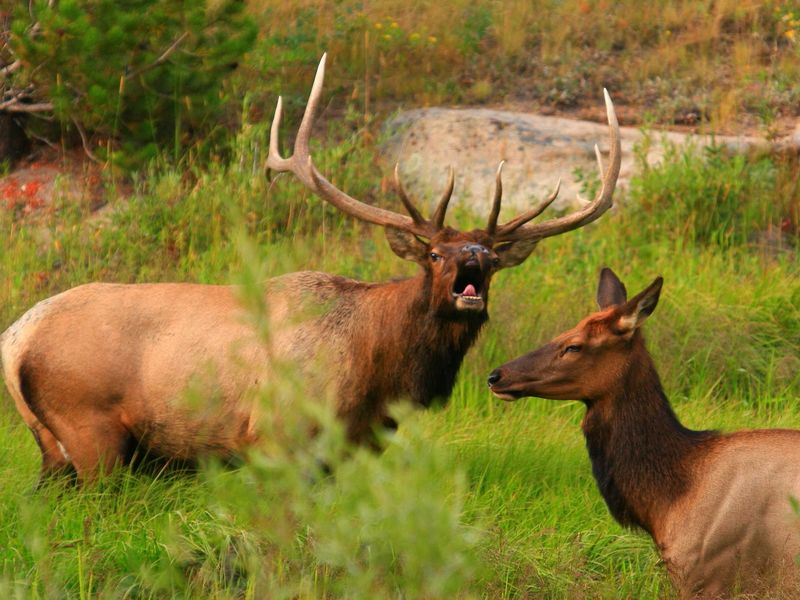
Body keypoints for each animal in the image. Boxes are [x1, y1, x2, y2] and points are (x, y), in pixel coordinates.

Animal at [1, 54, 621, 483]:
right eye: (434, 254)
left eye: (491, 258)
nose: (471, 257)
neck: (378, 372)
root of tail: (15, 339)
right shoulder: (274, 435)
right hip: (90, 428)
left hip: (53, 451)